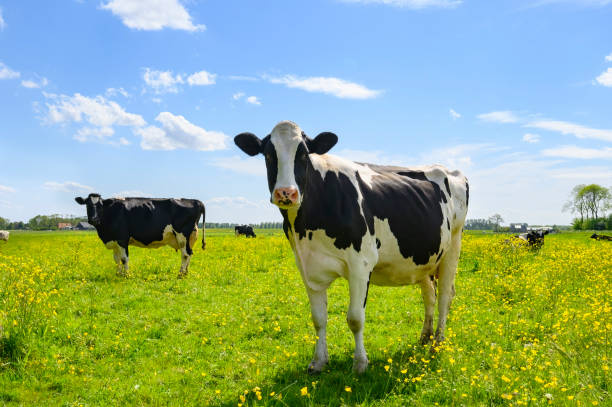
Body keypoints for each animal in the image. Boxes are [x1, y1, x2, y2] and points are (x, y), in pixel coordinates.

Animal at [75, 194, 206, 278]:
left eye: (100, 205)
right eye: (87, 205)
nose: (93, 219)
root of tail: (196, 201)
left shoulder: (122, 239)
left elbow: (124, 258)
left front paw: (126, 275)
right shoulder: (115, 241)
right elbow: (116, 259)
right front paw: (118, 274)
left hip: (182, 234)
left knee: (185, 254)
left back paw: (180, 274)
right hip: (190, 237)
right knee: (189, 253)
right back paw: (186, 273)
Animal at [234, 122, 468, 376]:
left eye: (304, 154)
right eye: (268, 154)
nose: (286, 193)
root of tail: (448, 170)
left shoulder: (361, 264)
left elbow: (355, 318)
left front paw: (360, 363)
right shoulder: (307, 265)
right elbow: (318, 318)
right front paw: (318, 362)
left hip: (453, 247)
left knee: (444, 296)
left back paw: (438, 343)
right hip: (423, 258)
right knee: (430, 296)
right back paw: (425, 337)